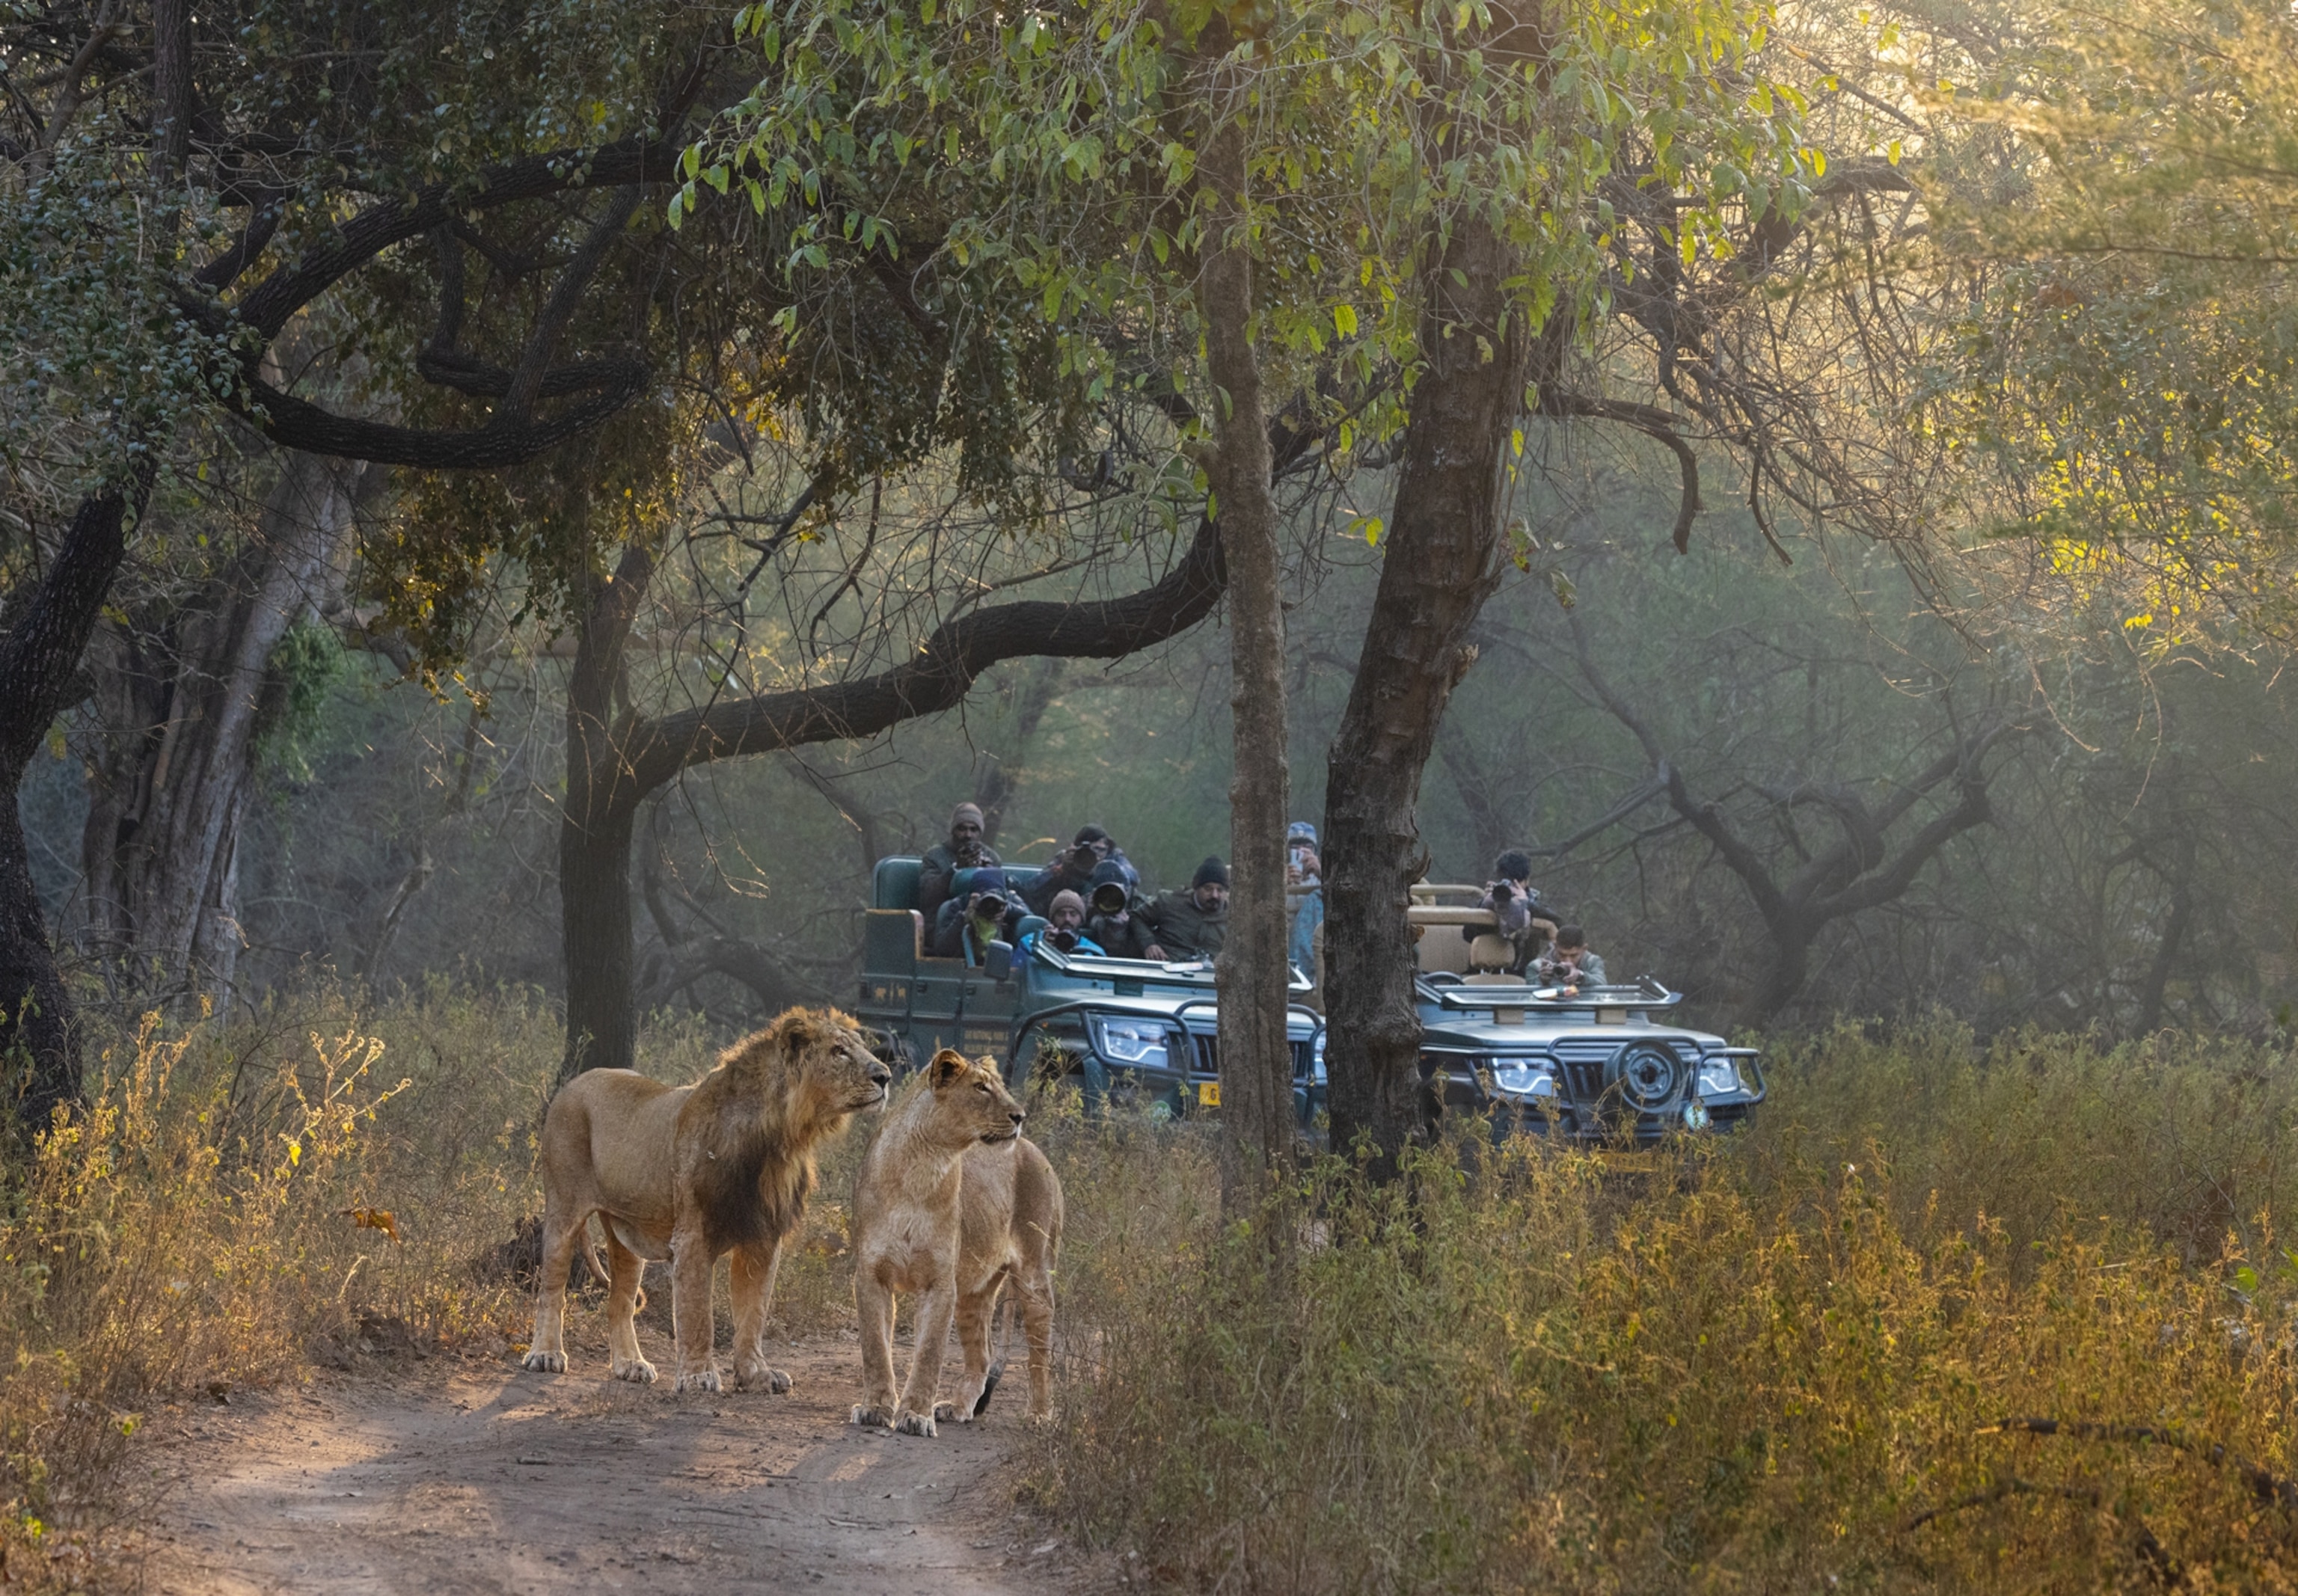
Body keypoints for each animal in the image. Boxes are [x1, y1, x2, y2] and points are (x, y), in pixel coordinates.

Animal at [522, 1006, 891, 1393]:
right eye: (839, 1051)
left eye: (862, 1046)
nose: (886, 1076)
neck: (780, 1140)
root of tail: (575, 1081)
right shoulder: (693, 1236)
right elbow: (698, 1313)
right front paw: (698, 1376)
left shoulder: (763, 1238)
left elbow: (754, 1312)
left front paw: (757, 1373)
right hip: (563, 1209)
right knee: (552, 1288)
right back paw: (545, 1355)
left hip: (626, 1233)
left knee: (619, 1302)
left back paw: (631, 1364)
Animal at [847, 1049, 1024, 1437]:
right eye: (981, 1087)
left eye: (1001, 1086)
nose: (1021, 1116)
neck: (924, 1164)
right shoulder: (871, 1275)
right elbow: (875, 1347)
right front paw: (875, 1408)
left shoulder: (941, 1282)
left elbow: (929, 1352)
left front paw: (915, 1415)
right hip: (976, 1294)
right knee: (982, 1355)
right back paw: (958, 1408)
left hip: (1036, 1276)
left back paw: (1040, 1415)